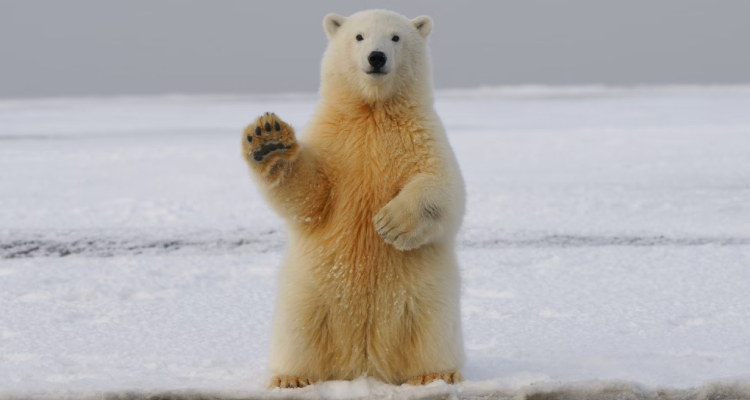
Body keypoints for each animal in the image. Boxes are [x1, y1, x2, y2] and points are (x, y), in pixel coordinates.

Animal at [241, 9, 465, 388]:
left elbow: (444, 187)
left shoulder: (422, 135)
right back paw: (291, 378)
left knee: (431, 330)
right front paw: (269, 140)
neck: (372, 110)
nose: (376, 57)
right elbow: (311, 195)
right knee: (299, 332)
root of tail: (364, 364)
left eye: (395, 37)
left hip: (426, 296)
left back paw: (437, 374)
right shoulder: (334, 140)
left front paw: (390, 223)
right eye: (359, 36)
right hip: (309, 294)